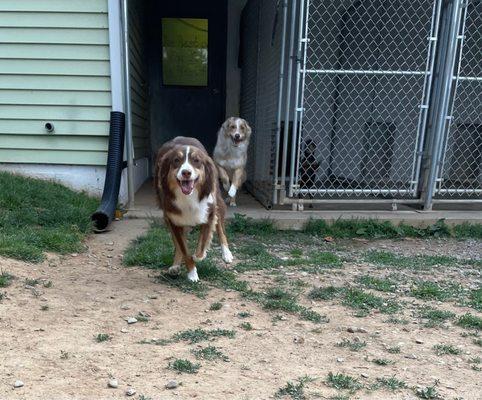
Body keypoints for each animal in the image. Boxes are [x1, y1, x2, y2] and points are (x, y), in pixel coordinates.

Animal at [154, 137, 233, 282]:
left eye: (196, 160)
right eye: (176, 160)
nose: (186, 172)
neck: (188, 197)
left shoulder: (209, 213)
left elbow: (202, 246)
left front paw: (198, 256)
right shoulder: (173, 220)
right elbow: (183, 249)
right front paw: (192, 273)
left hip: (218, 202)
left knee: (221, 229)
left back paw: (227, 254)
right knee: (177, 243)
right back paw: (175, 266)